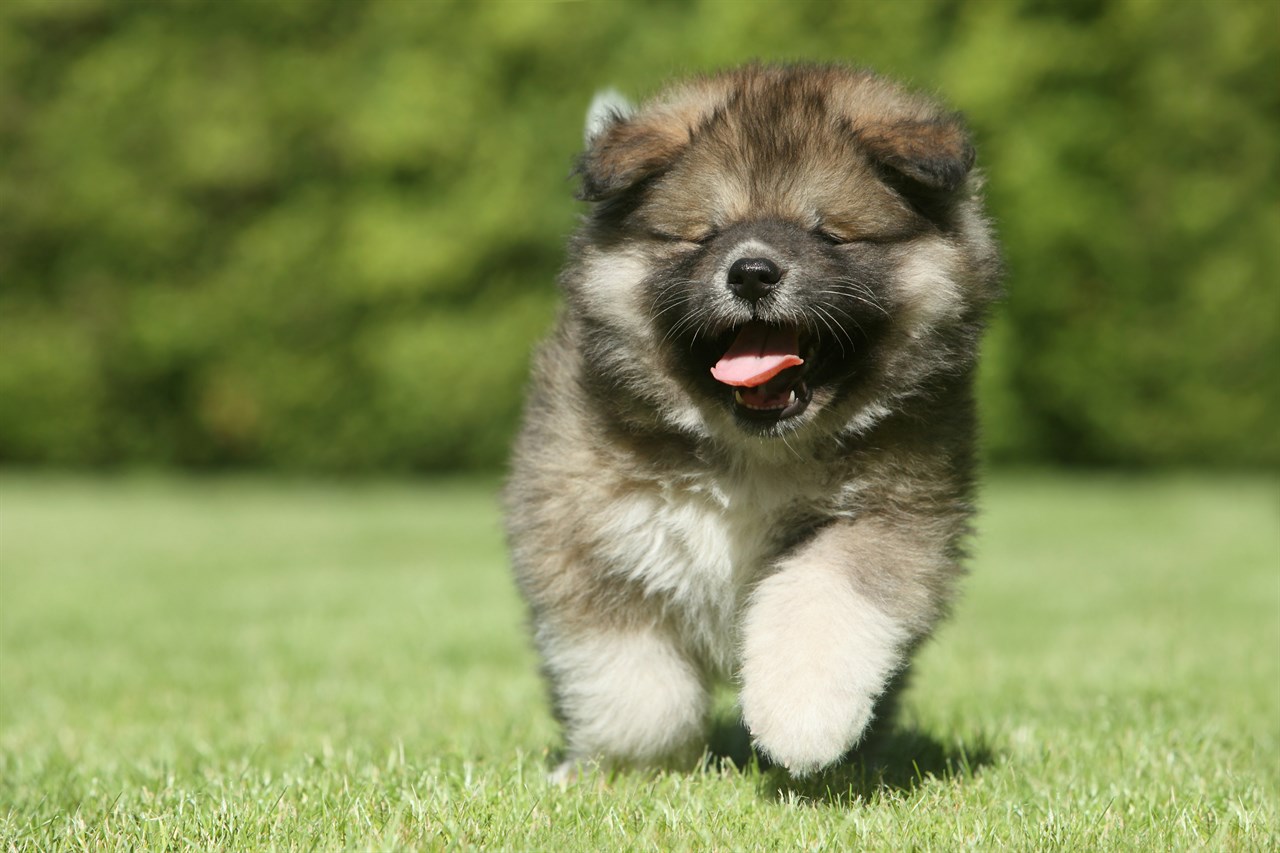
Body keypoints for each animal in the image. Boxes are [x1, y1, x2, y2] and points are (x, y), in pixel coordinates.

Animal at [501, 63, 998, 773]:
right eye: (705, 234)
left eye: (828, 233)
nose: (753, 272)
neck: (752, 454)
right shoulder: (585, 535)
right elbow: (630, 677)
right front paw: (628, 767)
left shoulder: (895, 516)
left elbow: (823, 598)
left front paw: (802, 720)